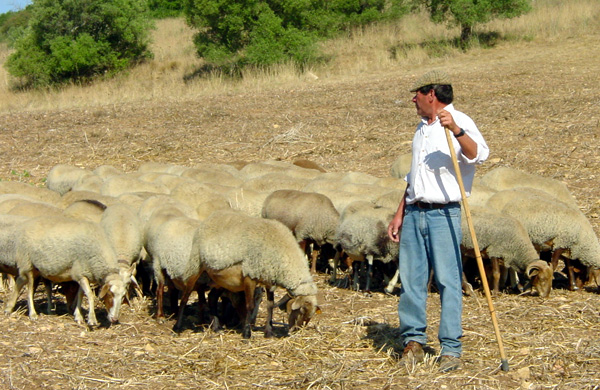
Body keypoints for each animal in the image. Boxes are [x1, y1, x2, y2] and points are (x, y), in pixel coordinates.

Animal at [193, 210, 324, 338]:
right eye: (301, 311)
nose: (297, 331)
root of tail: (212, 216)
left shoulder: (269, 279)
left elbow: (270, 305)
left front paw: (269, 332)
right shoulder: (250, 275)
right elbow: (250, 305)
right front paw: (247, 334)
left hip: (221, 280)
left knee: (212, 297)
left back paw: (217, 328)